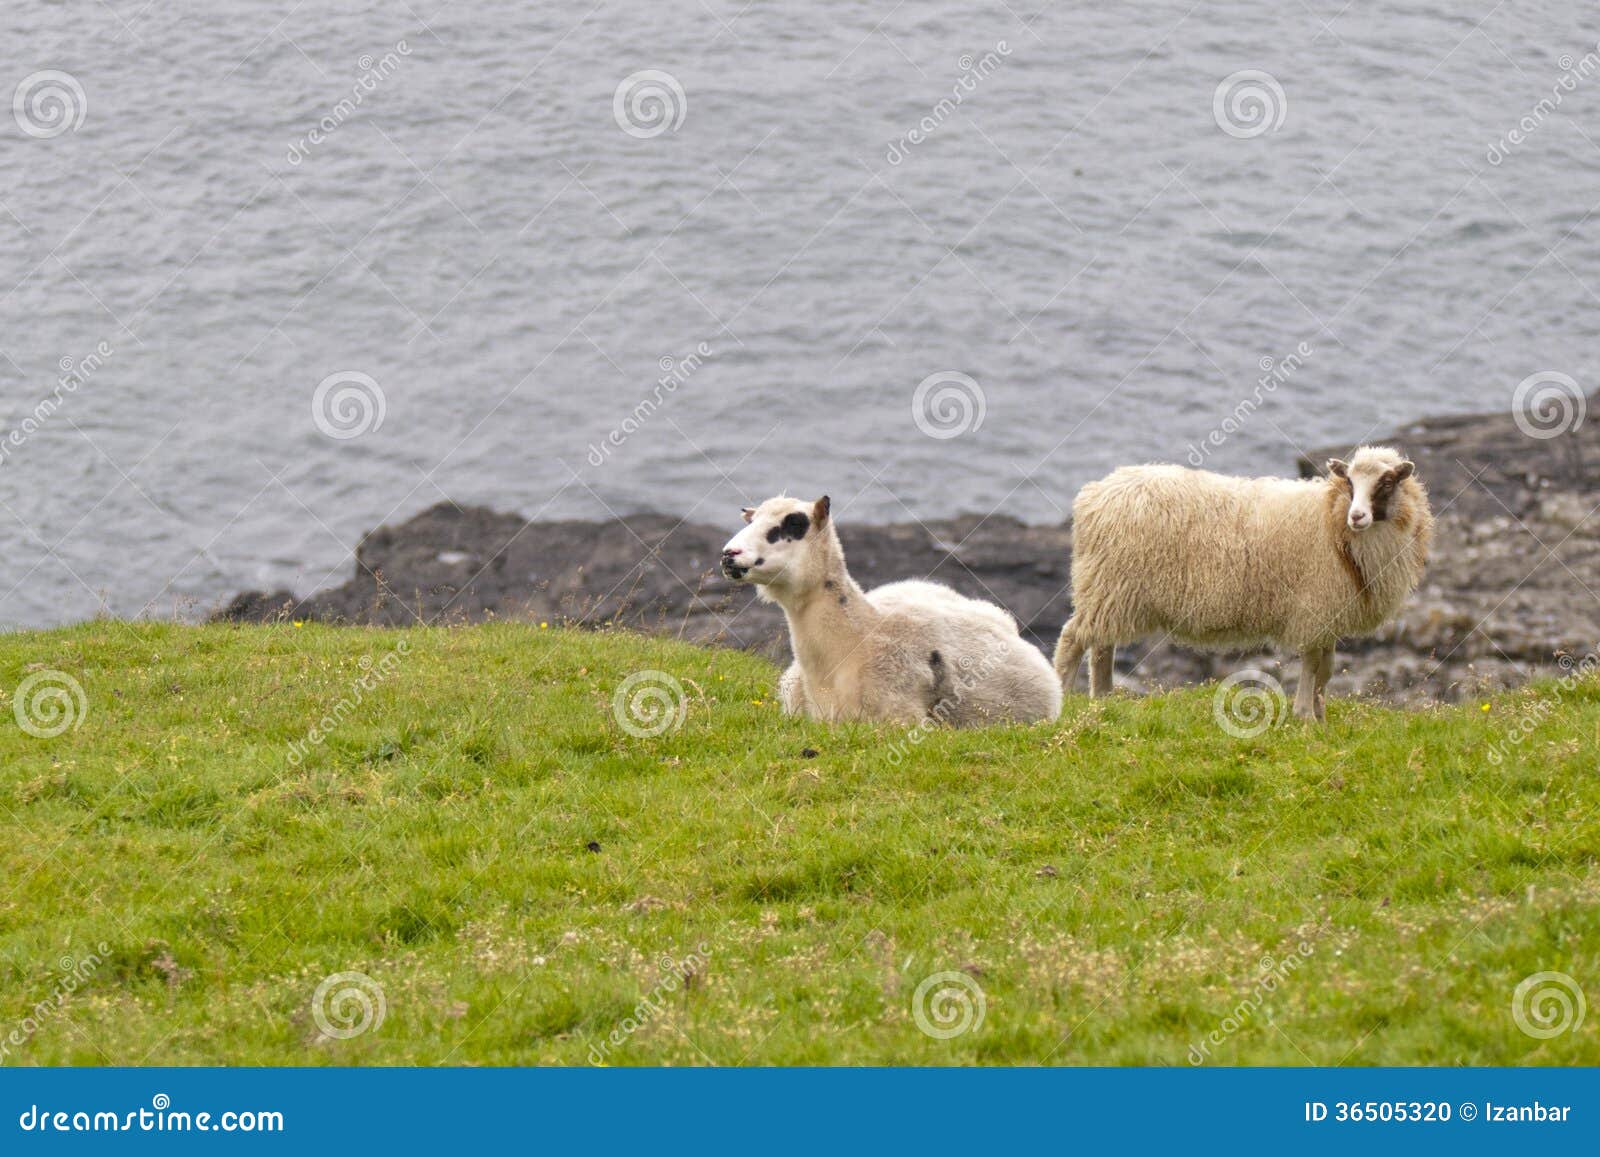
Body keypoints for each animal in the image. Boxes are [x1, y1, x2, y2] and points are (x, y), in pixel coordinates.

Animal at [1049, 448, 1440, 720]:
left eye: (1385, 484)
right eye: (1350, 483)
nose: (1357, 516)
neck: (1333, 522)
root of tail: (1095, 495)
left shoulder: (1328, 613)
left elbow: (1326, 668)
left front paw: (1320, 714)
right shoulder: (1313, 607)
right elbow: (1313, 664)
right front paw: (1305, 715)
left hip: (1113, 591)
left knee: (1102, 647)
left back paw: (1104, 699)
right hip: (1108, 584)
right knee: (1072, 639)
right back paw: (1063, 696)